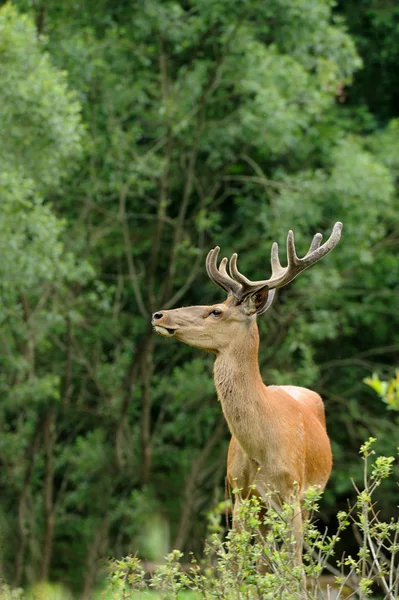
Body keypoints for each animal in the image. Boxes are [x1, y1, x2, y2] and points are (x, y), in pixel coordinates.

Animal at [152, 221, 342, 564]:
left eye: (215, 311)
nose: (159, 315)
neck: (262, 447)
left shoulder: (293, 493)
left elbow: (294, 567)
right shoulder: (240, 495)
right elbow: (237, 565)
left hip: (309, 499)